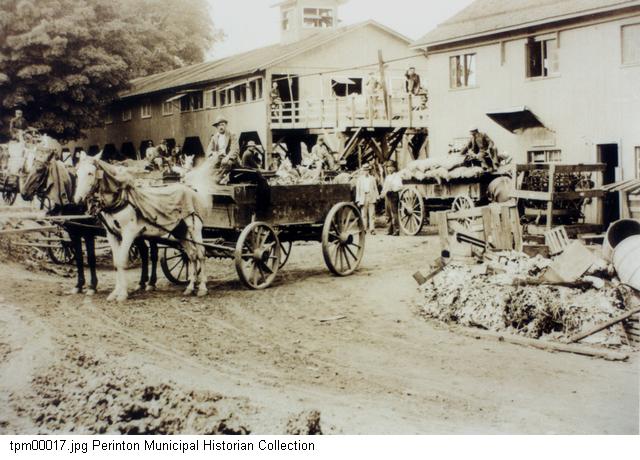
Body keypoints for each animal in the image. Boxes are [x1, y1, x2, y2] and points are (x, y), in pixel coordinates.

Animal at [74, 153, 208, 300]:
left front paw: (122, 294)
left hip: (195, 228)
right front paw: (115, 292)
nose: (77, 199)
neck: (120, 201)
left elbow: (122, 261)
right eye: (77, 173)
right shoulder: (112, 235)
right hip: (180, 231)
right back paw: (190, 287)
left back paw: (202, 287)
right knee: (191, 255)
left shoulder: (128, 234)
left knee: (201, 254)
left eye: (90, 173)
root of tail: (191, 189)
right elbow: (116, 263)